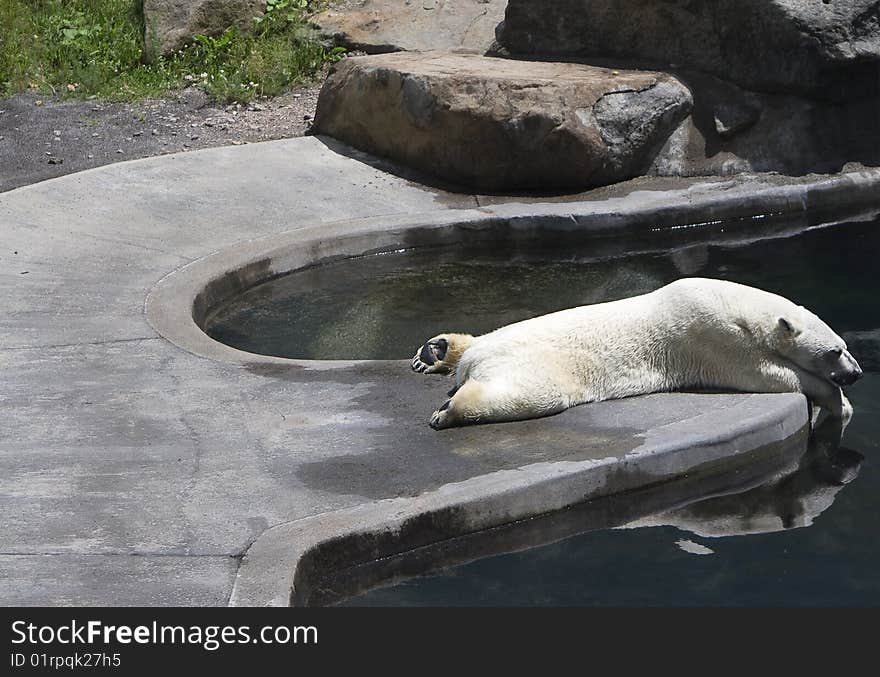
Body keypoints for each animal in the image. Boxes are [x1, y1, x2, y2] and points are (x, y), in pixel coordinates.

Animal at [414, 278, 868, 428]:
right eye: (836, 351)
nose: (858, 373)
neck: (737, 304)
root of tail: (476, 360)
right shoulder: (710, 333)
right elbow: (768, 374)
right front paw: (838, 402)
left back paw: (438, 351)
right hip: (533, 363)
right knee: (530, 394)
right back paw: (448, 410)